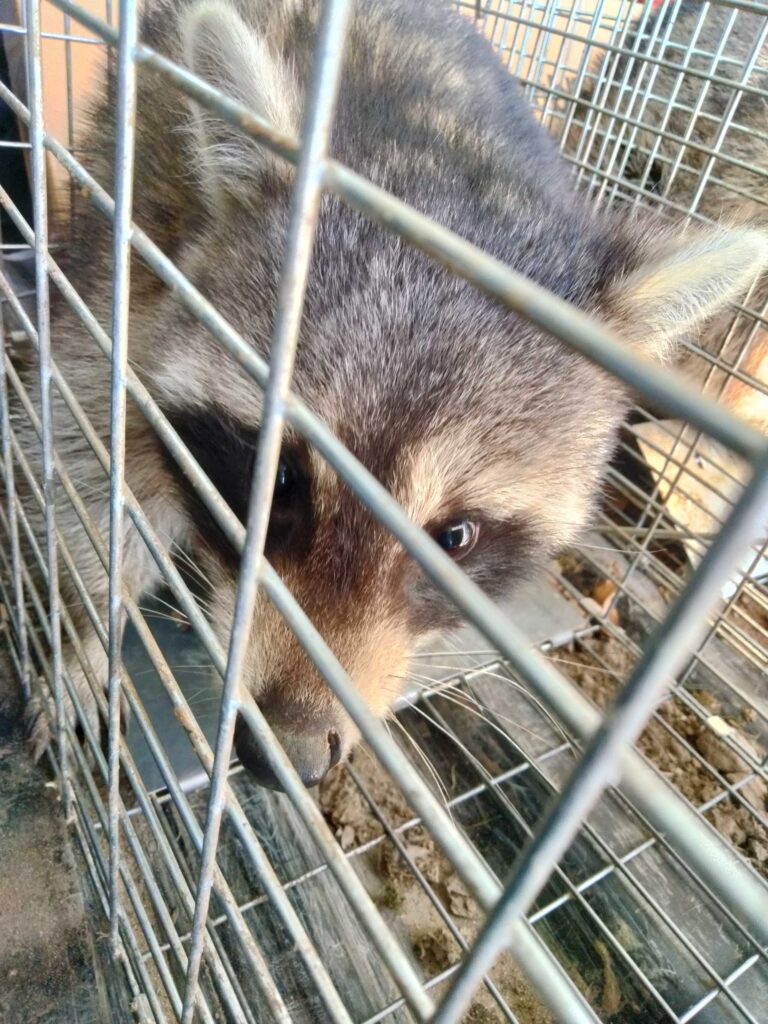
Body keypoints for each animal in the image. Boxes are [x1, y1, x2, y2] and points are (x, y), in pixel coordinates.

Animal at [14, 0, 768, 789]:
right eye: (278, 481)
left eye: (454, 538)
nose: (289, 756)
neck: (435, 168)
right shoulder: (141, 267)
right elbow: (86, 445)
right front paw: (84, 624)